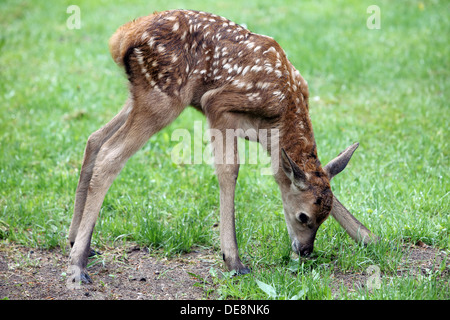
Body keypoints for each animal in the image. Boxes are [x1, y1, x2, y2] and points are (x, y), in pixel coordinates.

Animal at [67, 10, 376, 284]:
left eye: (321, 219)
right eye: (304, 217)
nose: (305, 251)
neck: (283, 111)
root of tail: (122, 36)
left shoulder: (265, 138)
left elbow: (309, 179)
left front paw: (369, 238)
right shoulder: (217, 105)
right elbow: (229, 171)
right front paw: (233, 260)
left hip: (140, 95)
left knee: (95, 138)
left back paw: (75, 241)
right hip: (164, 98)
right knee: (110, 153)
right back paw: (78, 264)